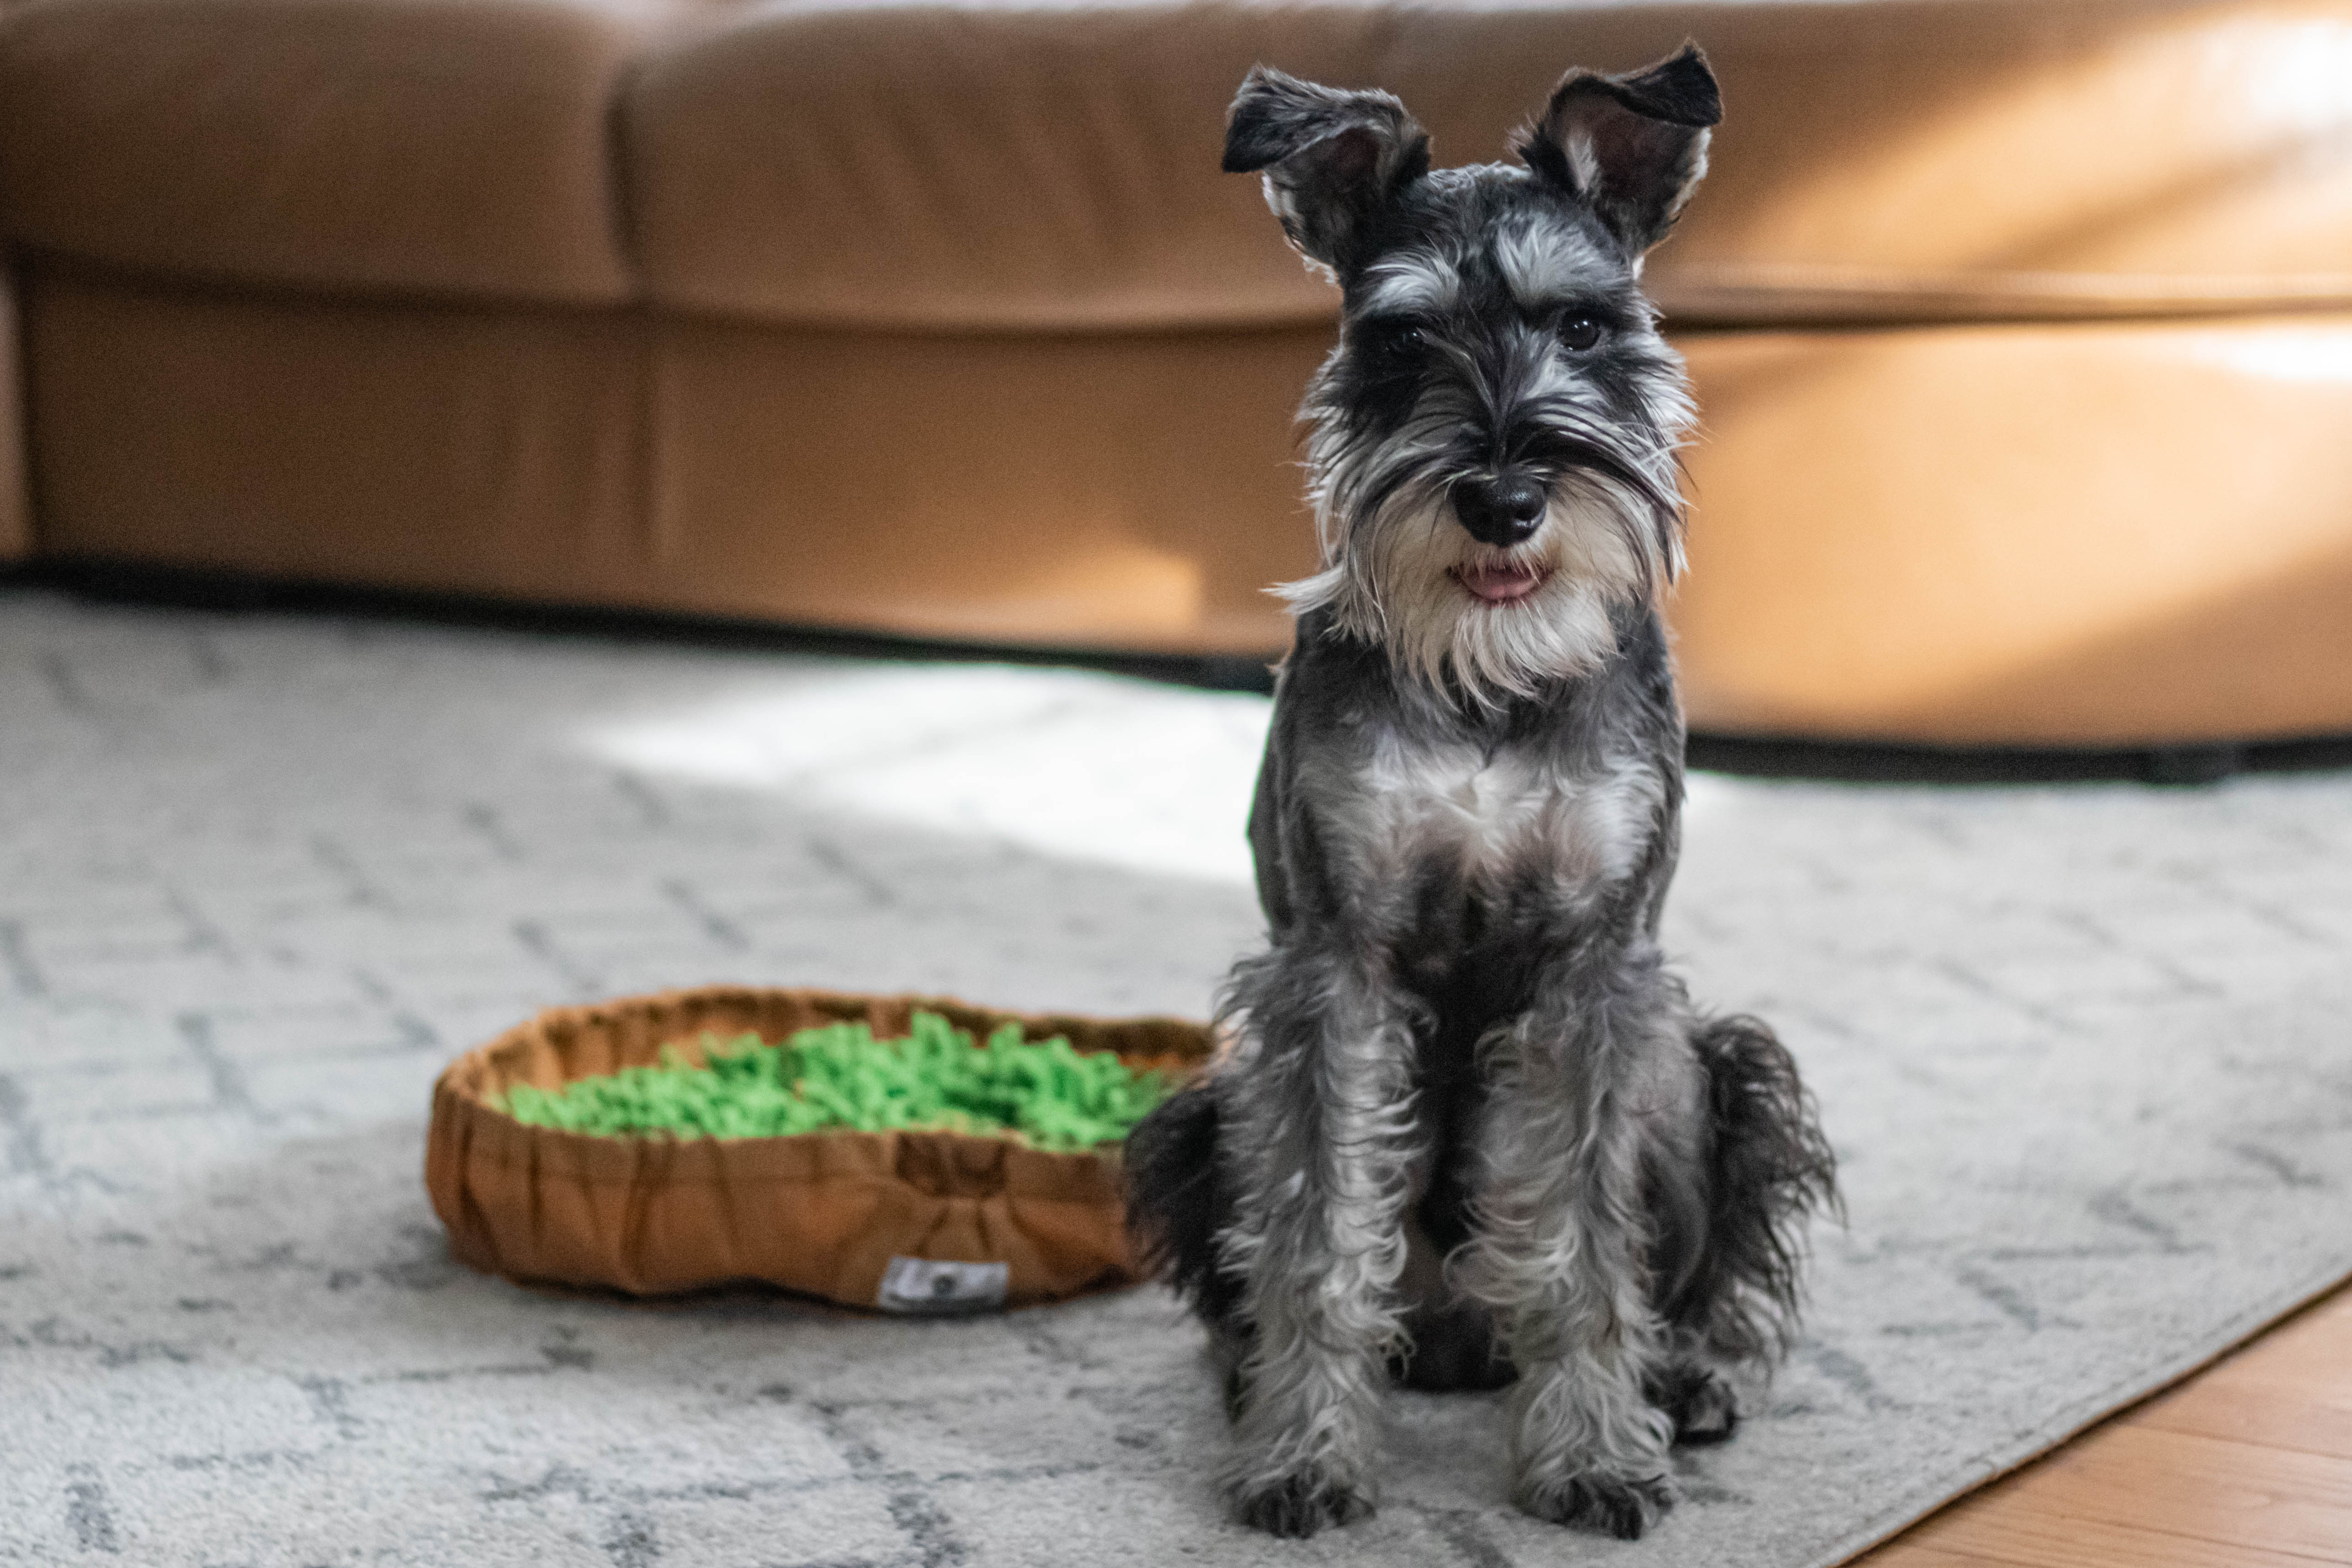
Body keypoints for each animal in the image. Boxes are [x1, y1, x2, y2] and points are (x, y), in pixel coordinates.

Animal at [1120, 43, 1834, 1542]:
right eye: (1400, 342)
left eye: (1586, 326)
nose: (1505, 497)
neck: (1491, 681)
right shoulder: (1329, 966)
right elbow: (1316, 1229)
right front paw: (1304, 1454)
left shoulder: (1594, 971)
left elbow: (1583, 1236)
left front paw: (1593, 1452)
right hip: (1205, 1114)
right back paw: (1264, 1382)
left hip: (1708, 1069)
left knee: (1677, 1265)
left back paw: (1683, 1381)